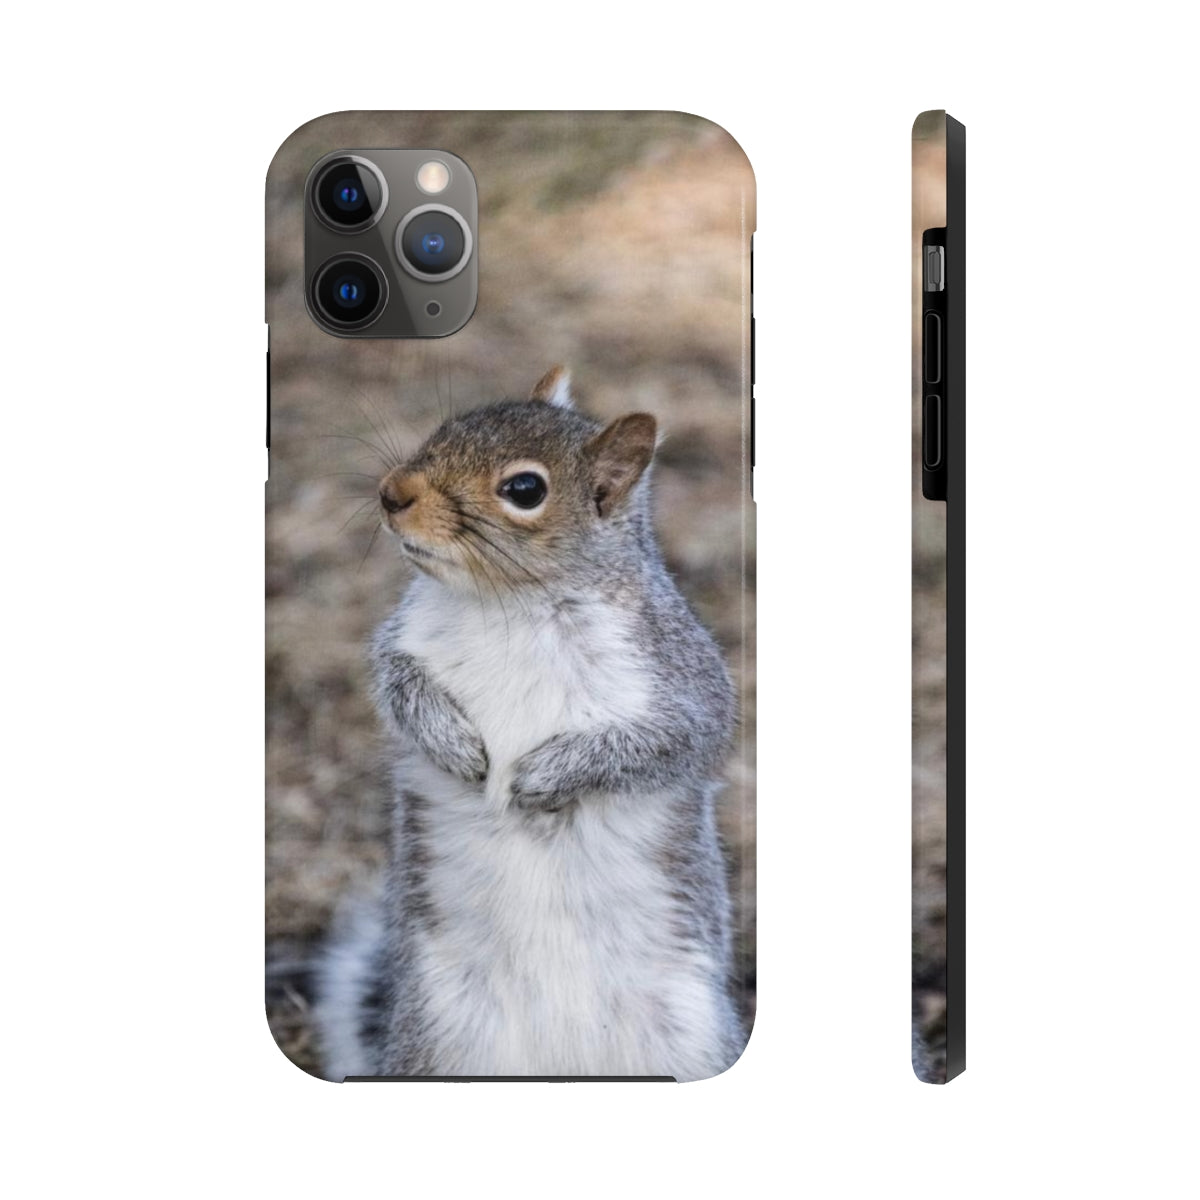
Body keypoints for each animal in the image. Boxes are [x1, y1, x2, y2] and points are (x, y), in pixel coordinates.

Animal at [314, 367, 744, 1081]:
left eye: (525, 490)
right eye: (446, 428)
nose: (391, 493)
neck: (508, 603)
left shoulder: (680, 678)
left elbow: (667, 742)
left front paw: (544, 777)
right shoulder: (402, 641)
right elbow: (396, 684)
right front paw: (455, 745)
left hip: (693, 1041)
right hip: (437, 1040)